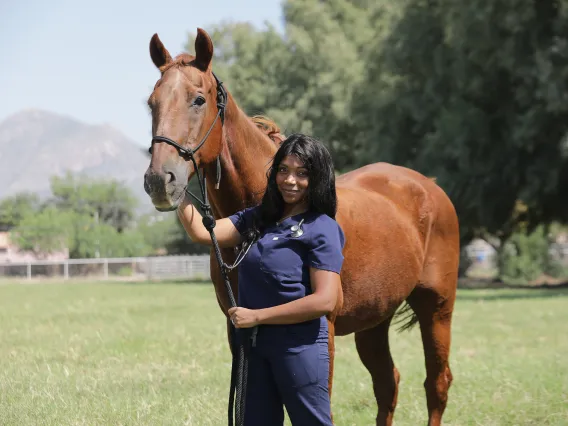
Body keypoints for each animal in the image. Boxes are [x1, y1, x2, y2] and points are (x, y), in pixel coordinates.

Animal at [144, 28, 460, 424]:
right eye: (151, 103)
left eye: (198, 100)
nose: (160, 180)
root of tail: (430, 186)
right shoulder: (238, 329)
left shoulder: (322, 328)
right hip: (376, 319)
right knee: (388, 383)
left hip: (437, 308)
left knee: (437, 383)